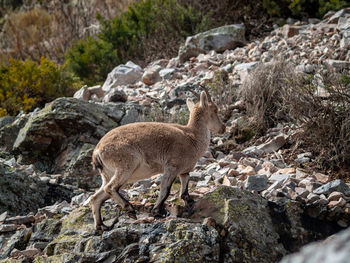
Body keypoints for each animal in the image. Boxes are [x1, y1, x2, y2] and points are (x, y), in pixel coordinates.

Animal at [90, 88, 226, 231]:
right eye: (215, 110)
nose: (223, 128)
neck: (193, 137)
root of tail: (97, 151)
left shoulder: (183, 171)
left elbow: (184, 190)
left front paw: (190, 203)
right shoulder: (172, 167)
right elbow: (165, 190)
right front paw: (156, 211)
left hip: (107, 174)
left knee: (96, 197)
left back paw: (101, 225)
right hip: (126, 165)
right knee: (110, 188)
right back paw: (129, 209)